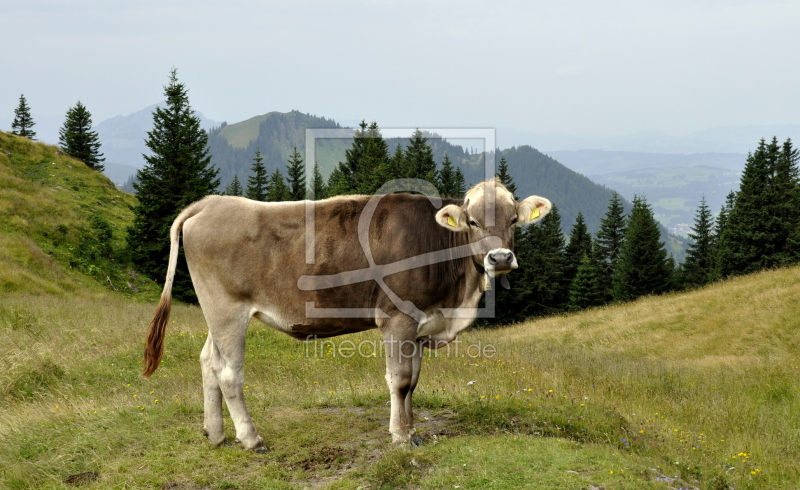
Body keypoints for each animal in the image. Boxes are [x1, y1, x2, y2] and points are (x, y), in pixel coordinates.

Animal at [142, 178, 552, 450]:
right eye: (473, 222)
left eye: (514, 220)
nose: (500, 258)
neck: (456, 298)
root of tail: (209, 203)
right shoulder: (397, 319)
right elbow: (400, 380)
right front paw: (400, 436)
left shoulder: (420, 326)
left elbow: (414, 382)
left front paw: (411, 429)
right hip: (227, 309)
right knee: (228, 372)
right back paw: (251, 438)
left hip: (217, 312)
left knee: (208, 361)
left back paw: (215, 434)